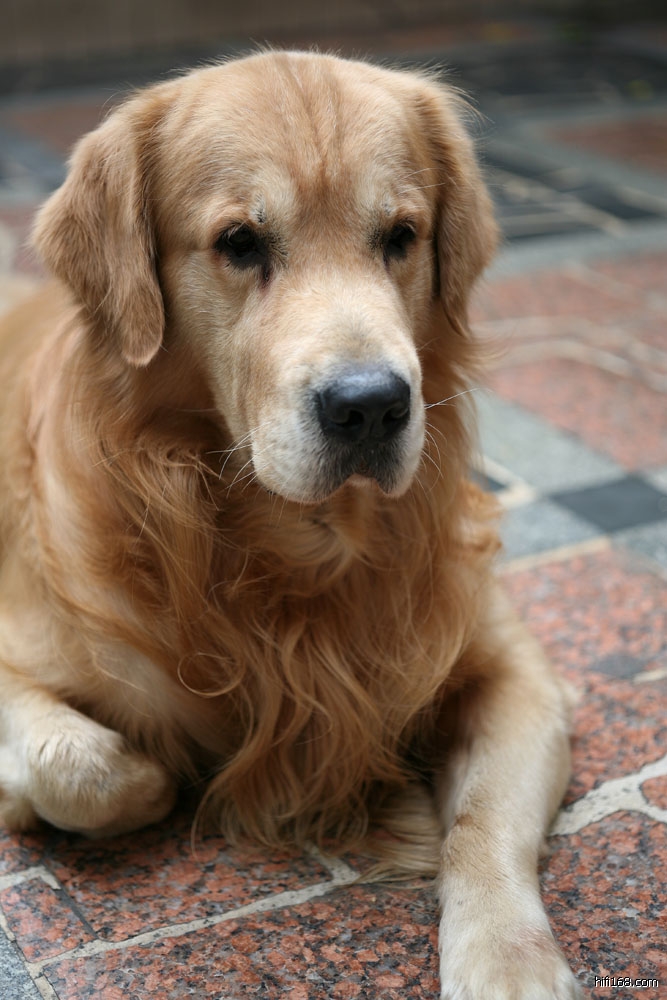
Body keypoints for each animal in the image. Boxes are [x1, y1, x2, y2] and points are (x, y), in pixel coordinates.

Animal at [0, 51, 580, 998]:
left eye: (400, 235)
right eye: (240, 242)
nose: (370, 406)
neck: (294, 547)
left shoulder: (514, 670)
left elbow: (484, 823)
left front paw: (505, 961)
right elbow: (89, 767)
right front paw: (108, 785)